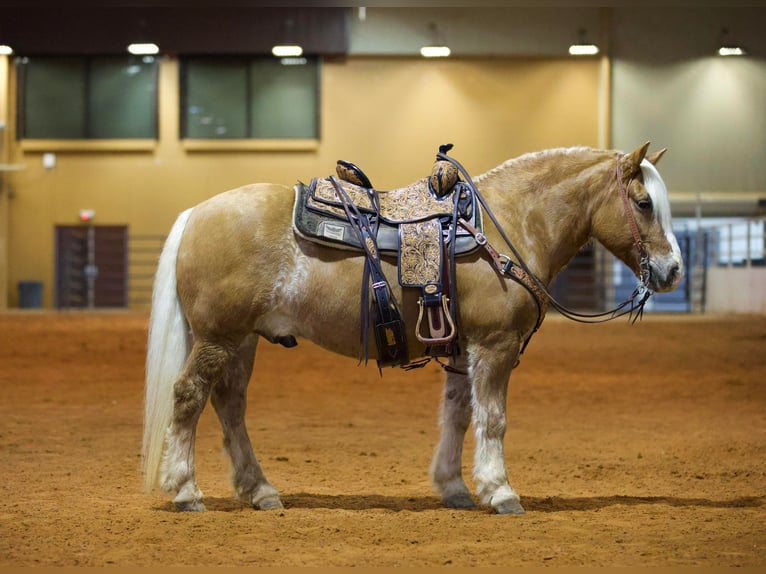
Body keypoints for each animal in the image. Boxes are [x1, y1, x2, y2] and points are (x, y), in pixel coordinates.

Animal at [142, 144, 684, 516]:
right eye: (642, 203)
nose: (674, 270)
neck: (510, 223)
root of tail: (197, 213)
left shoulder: (465, 350)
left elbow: (458, 416)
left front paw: (455, 487)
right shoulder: (496, 346)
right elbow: (494, 420)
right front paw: (501, 491)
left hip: (243, 341)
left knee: (229, 405)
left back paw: (259, 490)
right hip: (218, 338)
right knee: (188, 397)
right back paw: (187, 491)